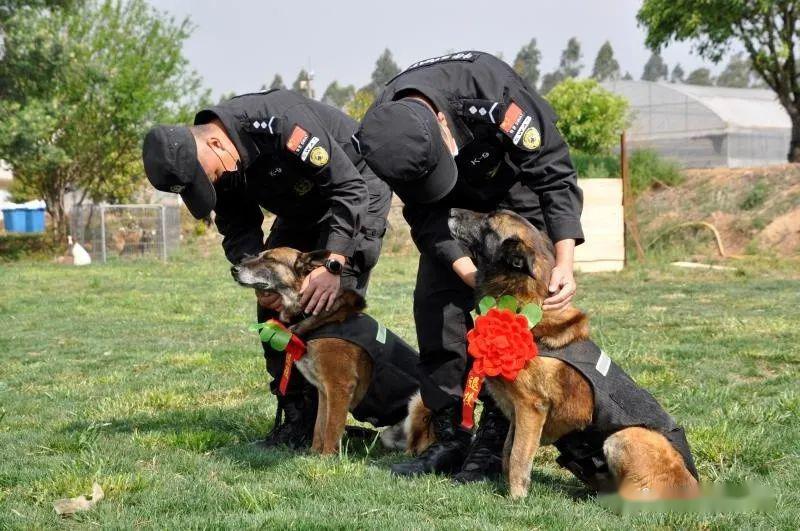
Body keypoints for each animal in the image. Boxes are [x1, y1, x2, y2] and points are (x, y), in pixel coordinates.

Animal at [231, 248, 422, 454]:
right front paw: (313, 454)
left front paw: (327, 457)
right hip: (389, 436)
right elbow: (320, 426)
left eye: (270, 259)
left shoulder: (340, 387)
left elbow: (332, 428)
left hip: (418, 402)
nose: (233, 269)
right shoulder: (324, 391)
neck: (315, 315)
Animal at [410, 210, 696, 500]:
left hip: (624, 437)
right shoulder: (516, 413)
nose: (450, 211)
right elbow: (508, 451)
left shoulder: (531, 408)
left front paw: (516, 498)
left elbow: (519, 457)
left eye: (489, 221)